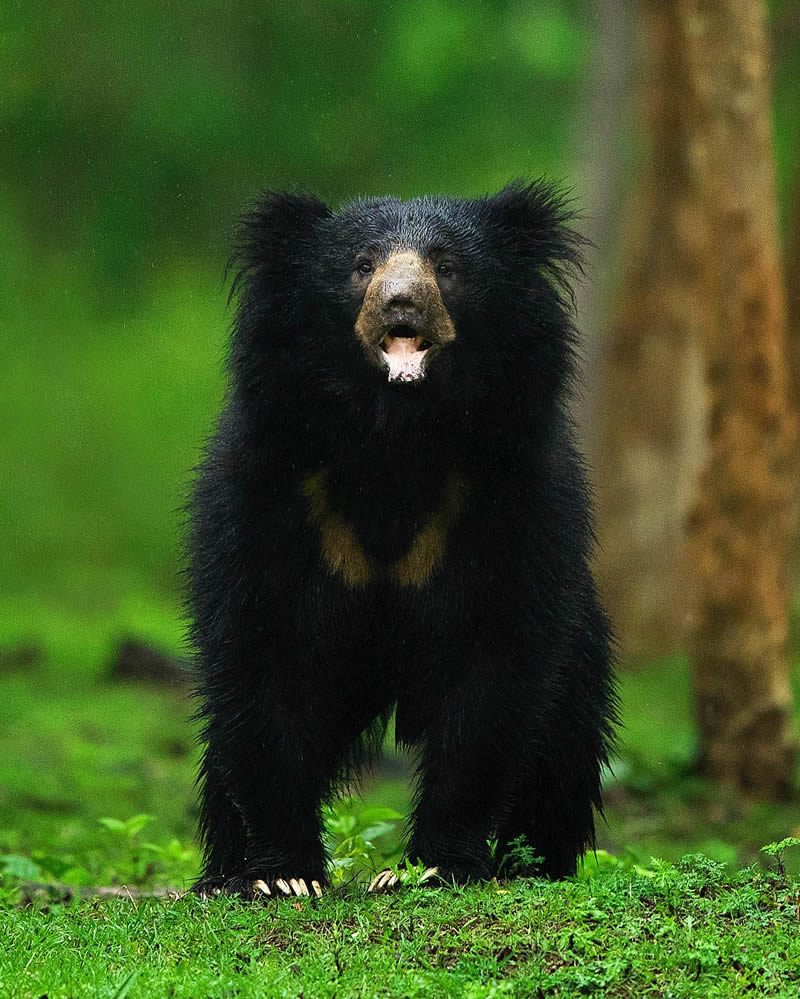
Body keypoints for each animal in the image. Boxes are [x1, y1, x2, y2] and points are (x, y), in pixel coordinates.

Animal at [188, 180, 620, 900]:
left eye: (446, 267)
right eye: (361, 265)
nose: (401, 302)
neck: (394, 432)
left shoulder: (514, 493)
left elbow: (492, 671)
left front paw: (431, 867)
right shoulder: (268, 485)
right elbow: (262, 656)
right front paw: (283, 876)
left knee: (563, 740)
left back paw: (535, 863)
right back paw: (221, 873)